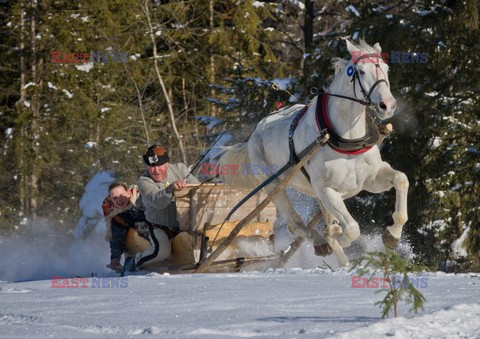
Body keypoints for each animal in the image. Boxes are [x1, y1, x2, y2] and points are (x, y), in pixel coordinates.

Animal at [218, 41, 408, 266]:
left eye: (386, 68)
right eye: (361, 71)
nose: (387, 105)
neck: (345, 139)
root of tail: (255, 133)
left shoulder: (370, 179)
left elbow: (401, 179)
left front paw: (392, 235)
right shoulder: (326, 189)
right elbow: (351, 229)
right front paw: (335, 238)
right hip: (274, 187)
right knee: (295, 223)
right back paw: (321, 242)